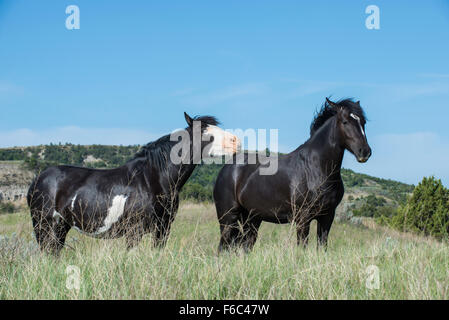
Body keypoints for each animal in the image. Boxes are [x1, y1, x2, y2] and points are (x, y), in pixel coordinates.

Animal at [26, 112, 240, 255]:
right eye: (204, 132)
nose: (235, 141)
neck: (153, 179)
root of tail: (38, 179)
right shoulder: (134, 231)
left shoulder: (163, 228)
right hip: (43, 225)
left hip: (61, 226)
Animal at [214, 98, 372, 252]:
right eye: (345, 122)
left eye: (363, 122)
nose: (365, 152)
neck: (315, 168)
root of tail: (227, 168)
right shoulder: (303, 218)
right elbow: (302, 248)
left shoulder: (327, 217)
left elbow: (322, 247)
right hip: (228, 219)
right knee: (223, 247)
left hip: (251, 219)